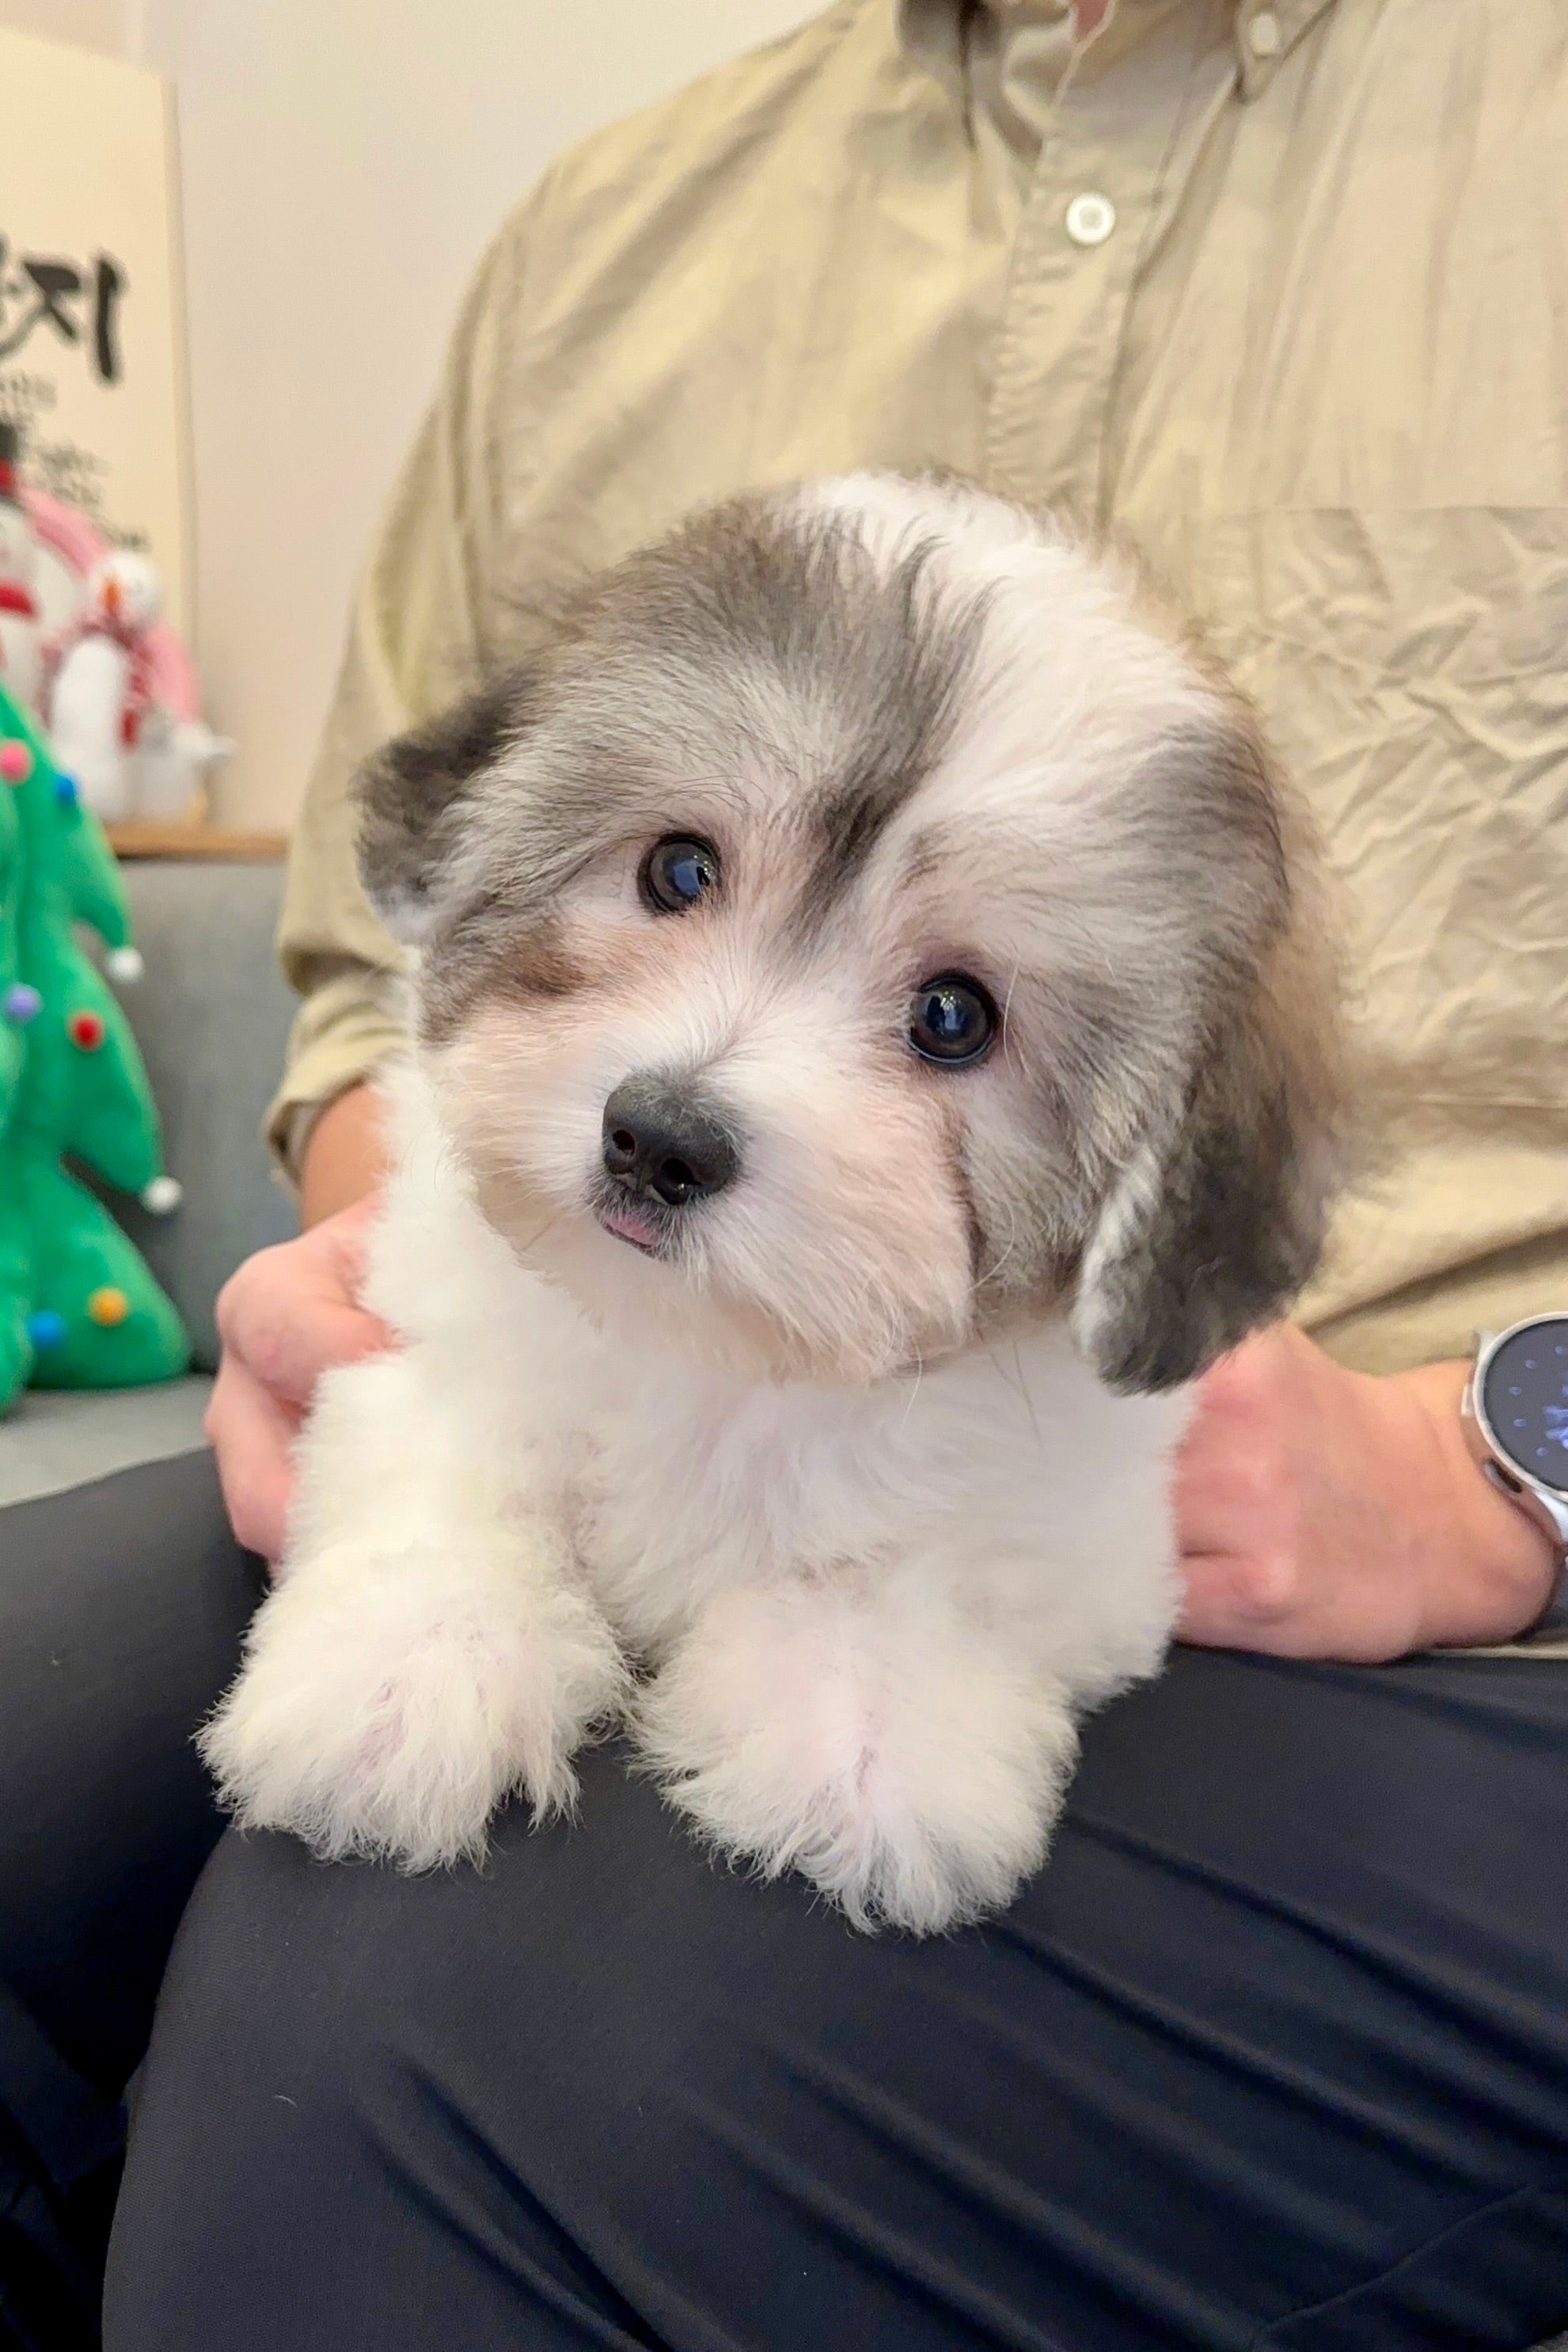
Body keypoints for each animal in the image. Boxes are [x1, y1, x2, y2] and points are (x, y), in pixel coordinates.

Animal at [202, 473, 1344, 1928]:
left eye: (955, 1017)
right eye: (679, 870)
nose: (659, 1137)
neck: (717, 1352)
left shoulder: (1081, 1531)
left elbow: (924, 1566)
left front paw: (866, 1731)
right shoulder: (434, 1343)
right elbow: (459, 1457)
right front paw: (408, 1662)